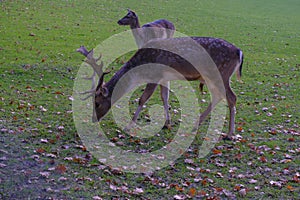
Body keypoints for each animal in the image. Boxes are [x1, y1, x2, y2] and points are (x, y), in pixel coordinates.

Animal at [77, 36, 244, 140]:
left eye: (97, 103)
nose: (94, 119)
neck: (141, 69)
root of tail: (239, 52)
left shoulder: (155, 75)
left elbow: (143, 99)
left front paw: (128, 126)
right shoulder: (164, 78)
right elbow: (165, 97)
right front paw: (167, 123)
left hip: (221, 73)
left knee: (231, 97)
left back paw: (230, 134)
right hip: (212, 77)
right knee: (218, 96)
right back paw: (195, 125)